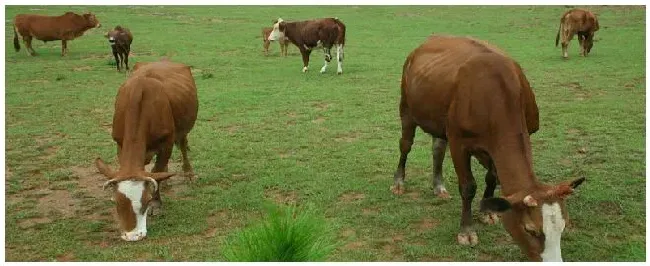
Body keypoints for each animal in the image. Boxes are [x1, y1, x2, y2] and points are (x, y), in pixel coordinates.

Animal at [95, 59, 197, 242]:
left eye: (146, 200)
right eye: (115, 201)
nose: (133, 236)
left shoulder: (167, 143)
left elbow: (157, 169)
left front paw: (156, 203)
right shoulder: (120, 144)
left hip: (183, 129)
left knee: (183, 146)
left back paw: (188, 174)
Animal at [392, 34, 584, 260]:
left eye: (563, 227)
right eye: (529, 230)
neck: (497, 97)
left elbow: (492, 177)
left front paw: (488, 212)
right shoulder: (459, 142)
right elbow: (468, 187)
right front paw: (466, 231)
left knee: (438, 147)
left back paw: (438, 186)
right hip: (406, 107)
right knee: (405, 145)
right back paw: (398, 182)